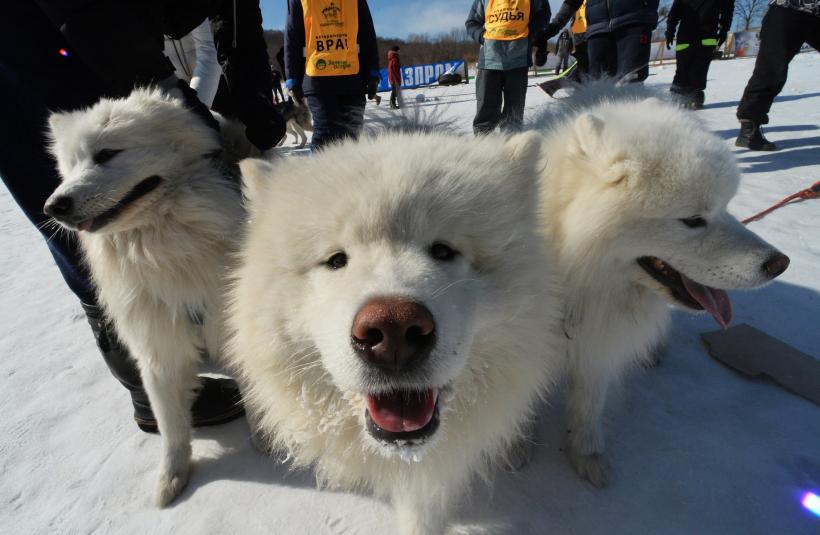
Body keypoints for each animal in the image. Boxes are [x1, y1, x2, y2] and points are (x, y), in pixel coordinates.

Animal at [43, 90, 248, 508]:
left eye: (106, 154)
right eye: (67, 168)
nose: (53, 207)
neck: (160, 247)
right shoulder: (157, 350)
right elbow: (171, 427)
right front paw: (171, 479)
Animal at [532, 88, 788, 490]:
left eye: (726, 207)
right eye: (693, 220)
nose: (778, 263)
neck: (574, 275)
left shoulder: (597, 345)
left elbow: (588, 407)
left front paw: (588, 456)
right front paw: (516, 450)